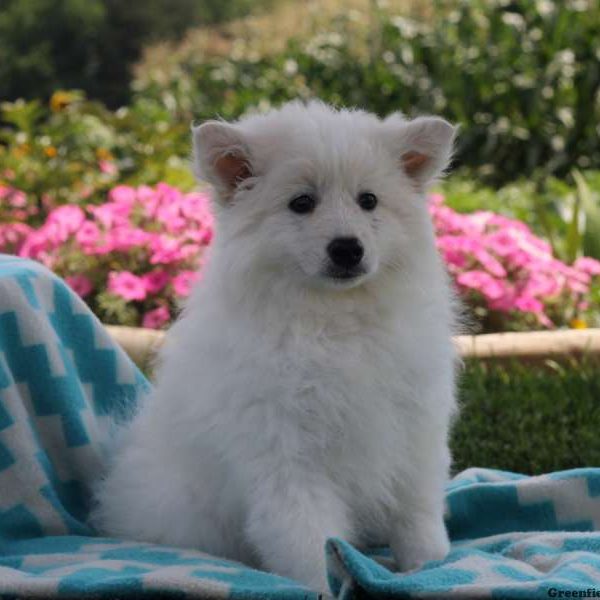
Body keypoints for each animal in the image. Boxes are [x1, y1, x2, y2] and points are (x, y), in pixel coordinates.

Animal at [92, 99, 460, 592]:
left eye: (368, 200)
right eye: (301, 203)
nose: (348, 248)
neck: (333, 320)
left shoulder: (414, 433)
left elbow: (417, 516)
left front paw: (432, 569)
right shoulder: (285, 456)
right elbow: (309, 540)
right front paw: (321, 586)